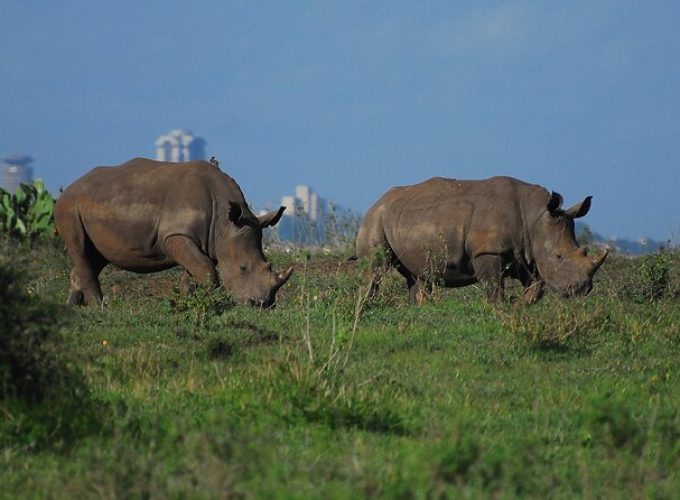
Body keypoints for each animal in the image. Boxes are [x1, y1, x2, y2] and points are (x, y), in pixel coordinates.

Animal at [55, 158, 292, 306]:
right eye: (243, 268)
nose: (262, 304)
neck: (224, 224)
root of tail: (70, 187)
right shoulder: (176, 235)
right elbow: (205, 269)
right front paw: (211, 301)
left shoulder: (202, 239)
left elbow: (194, 270)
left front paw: (188, 302)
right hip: (69, 207)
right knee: (80, 249)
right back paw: (99, 306)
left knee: (94, 257)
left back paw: (73, 307)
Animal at [354, 176, 608, 302]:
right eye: (558, 256)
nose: (582, 290)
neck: (534, 216)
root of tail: (376, 202)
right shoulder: (488, 251)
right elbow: (495, 289)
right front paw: (503, 309)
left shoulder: (525, 255)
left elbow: (535, 288)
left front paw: (520, 305)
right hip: (376, 219)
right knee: (375, 269)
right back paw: (367, 307)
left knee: (417, 277)